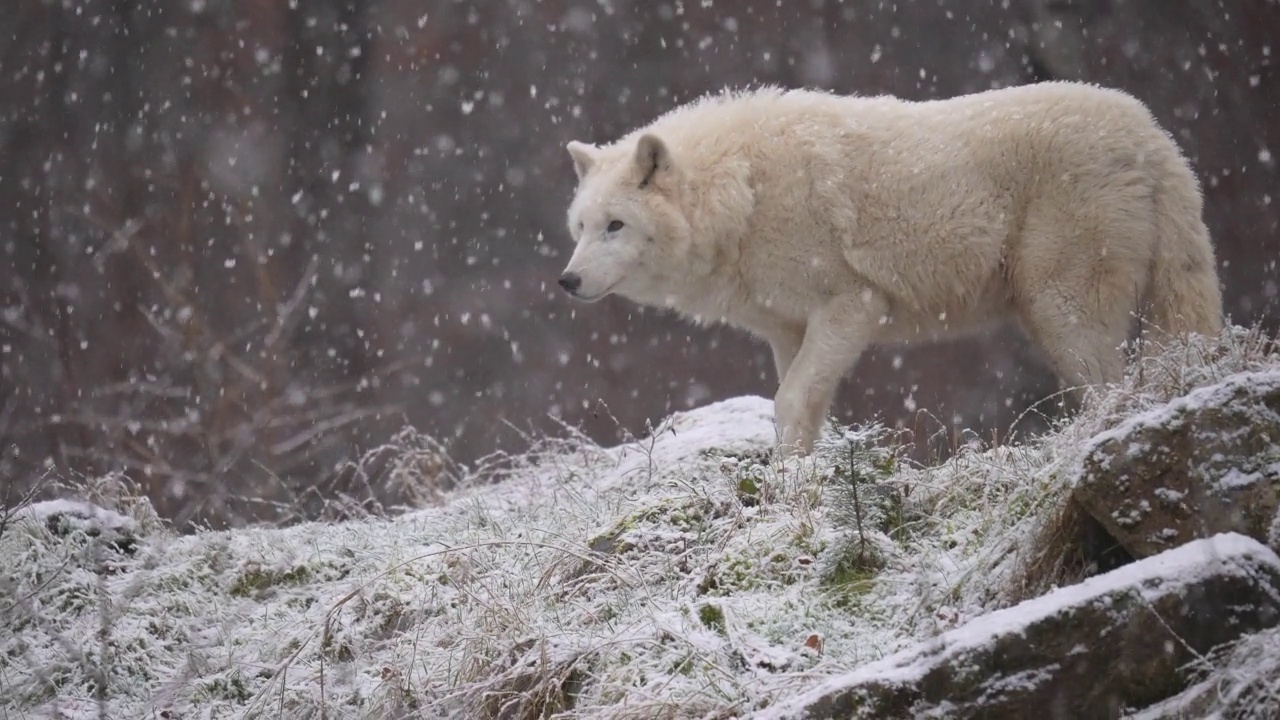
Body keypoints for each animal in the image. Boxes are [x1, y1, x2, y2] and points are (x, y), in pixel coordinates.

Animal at [558, 81, 1218, 450]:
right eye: (580, 228)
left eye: (616, 226)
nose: (567, 281)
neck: (742, 191)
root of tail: (1154, 135)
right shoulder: (787, 330)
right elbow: (799, 412)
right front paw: (791, 490)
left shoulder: (852, 306)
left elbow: (788, 403)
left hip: (1061, 310)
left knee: (1115, 389)